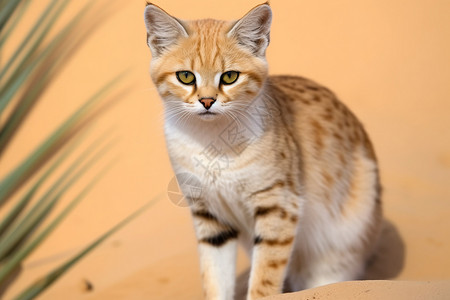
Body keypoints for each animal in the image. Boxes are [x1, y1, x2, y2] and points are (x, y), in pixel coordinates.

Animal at [143, 2, 380, 300]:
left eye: (230, 77)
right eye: (185, 77)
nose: (207, 101)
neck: (210, 139)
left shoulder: (279, 202)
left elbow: (266, 274)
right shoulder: (209, 213)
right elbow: (214, 275)